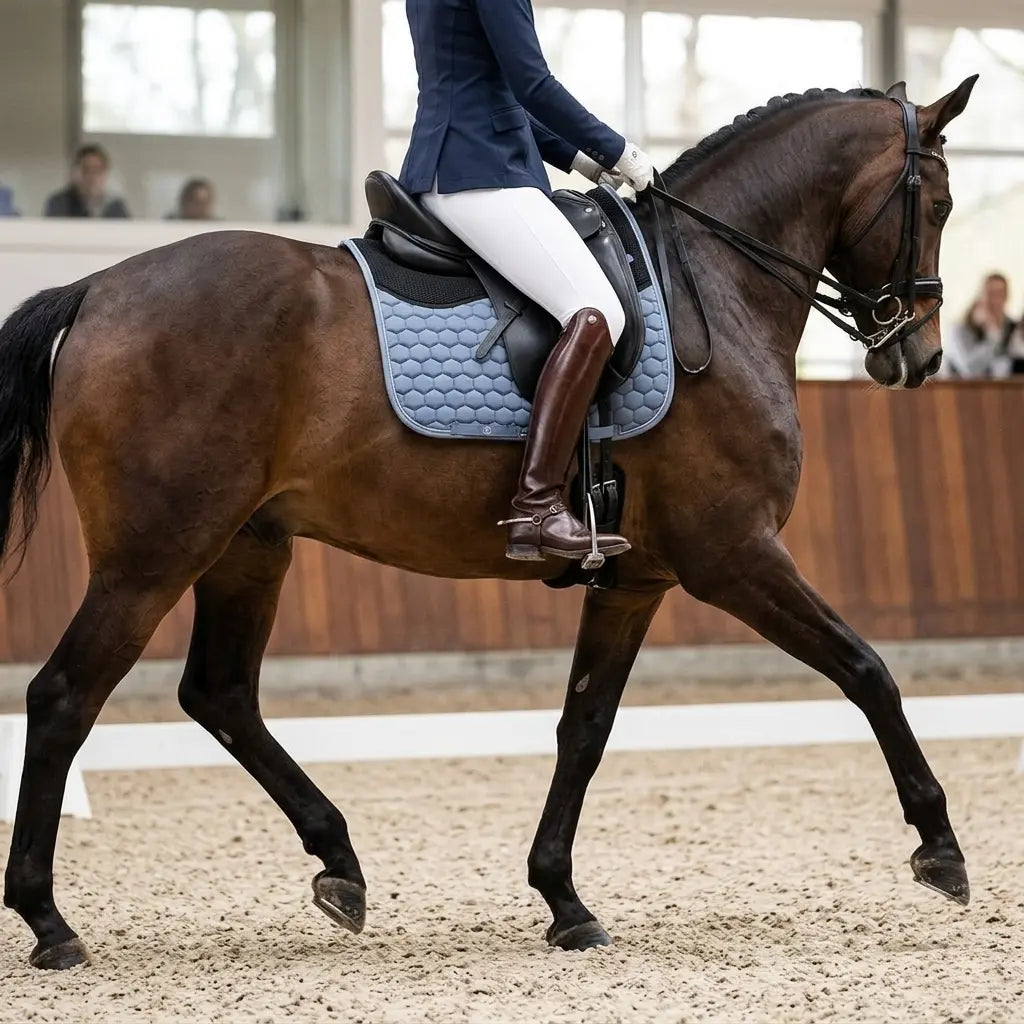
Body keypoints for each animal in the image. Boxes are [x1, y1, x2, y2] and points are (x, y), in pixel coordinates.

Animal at [0, 78, 977, 970]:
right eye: (938, 203)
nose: (920, 355)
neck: (715, 283)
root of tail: (98, 288)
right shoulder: (733, 555)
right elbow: (867, 670)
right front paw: (940, 847)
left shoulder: (635, 580)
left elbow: (585, 728)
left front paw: (564, 899)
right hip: (154, 556)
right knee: (65, 697)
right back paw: (49, 921)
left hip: (248, 548)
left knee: (220, 693)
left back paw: (340, 862)